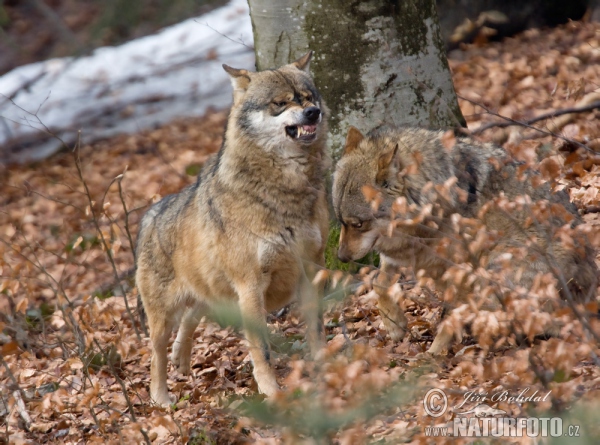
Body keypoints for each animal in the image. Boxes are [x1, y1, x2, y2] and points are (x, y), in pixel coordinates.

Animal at [330, 125, 596, 354]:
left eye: (358, 224)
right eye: (341, 221)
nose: (340, 257)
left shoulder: (461, 268)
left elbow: (454, 314)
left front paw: (434, 353)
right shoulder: (402, 255)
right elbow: (379, 285)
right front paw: (395, 325)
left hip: (498, 265)